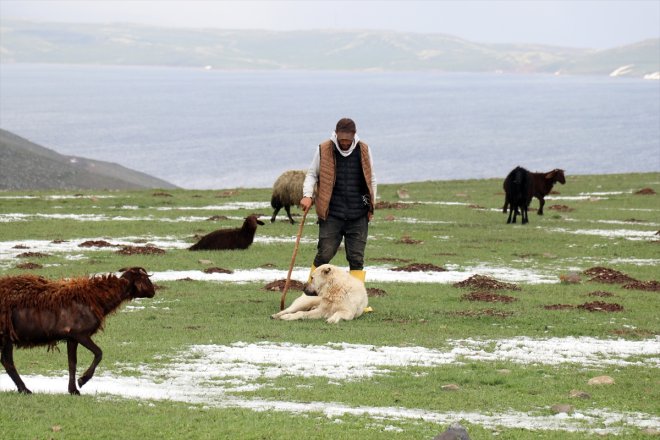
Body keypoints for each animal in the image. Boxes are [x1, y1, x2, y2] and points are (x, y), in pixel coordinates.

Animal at [0, 268, 155, 396]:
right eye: (145, 278)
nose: (154, 291)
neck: (99, 299)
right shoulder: (79, 333)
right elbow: (99, 353)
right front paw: (82, 381)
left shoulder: (71, 338)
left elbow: (72, 363)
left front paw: (73, 389)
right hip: (6, 335)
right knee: (8, 362)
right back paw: (24, 389)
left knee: (6, 362)